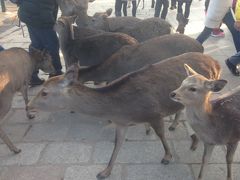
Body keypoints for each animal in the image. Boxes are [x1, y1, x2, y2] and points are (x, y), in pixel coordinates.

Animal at [27, 51, 220, 179]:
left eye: (44, 92)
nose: (29, 106)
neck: (122, 108)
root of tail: (215, 62)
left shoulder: (154, 112)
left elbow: (161, 135)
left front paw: (167, 156)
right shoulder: (121, 122)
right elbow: (117, 144)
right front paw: (105, 172)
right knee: (182, 108)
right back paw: (182, 131)